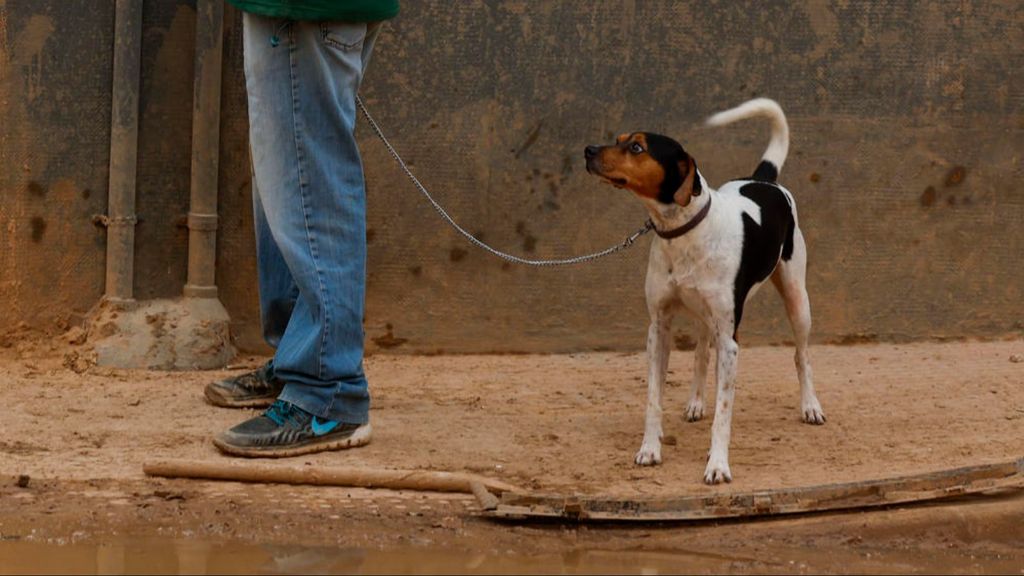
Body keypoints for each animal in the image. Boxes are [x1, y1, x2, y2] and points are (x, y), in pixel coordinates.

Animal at [585, 96, 823, 481]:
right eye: (618, 139)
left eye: (637, 147)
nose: (588, 150)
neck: (682, 231)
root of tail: (762, 178)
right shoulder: (658, 329)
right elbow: (654, 398)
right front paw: (650, 448)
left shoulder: (730, 340)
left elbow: (724, 411)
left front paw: (718, 465)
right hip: (704, 316)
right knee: (701, 354)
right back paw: (696, 402)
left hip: (797, 301)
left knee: (801, 356)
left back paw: (810, 406)